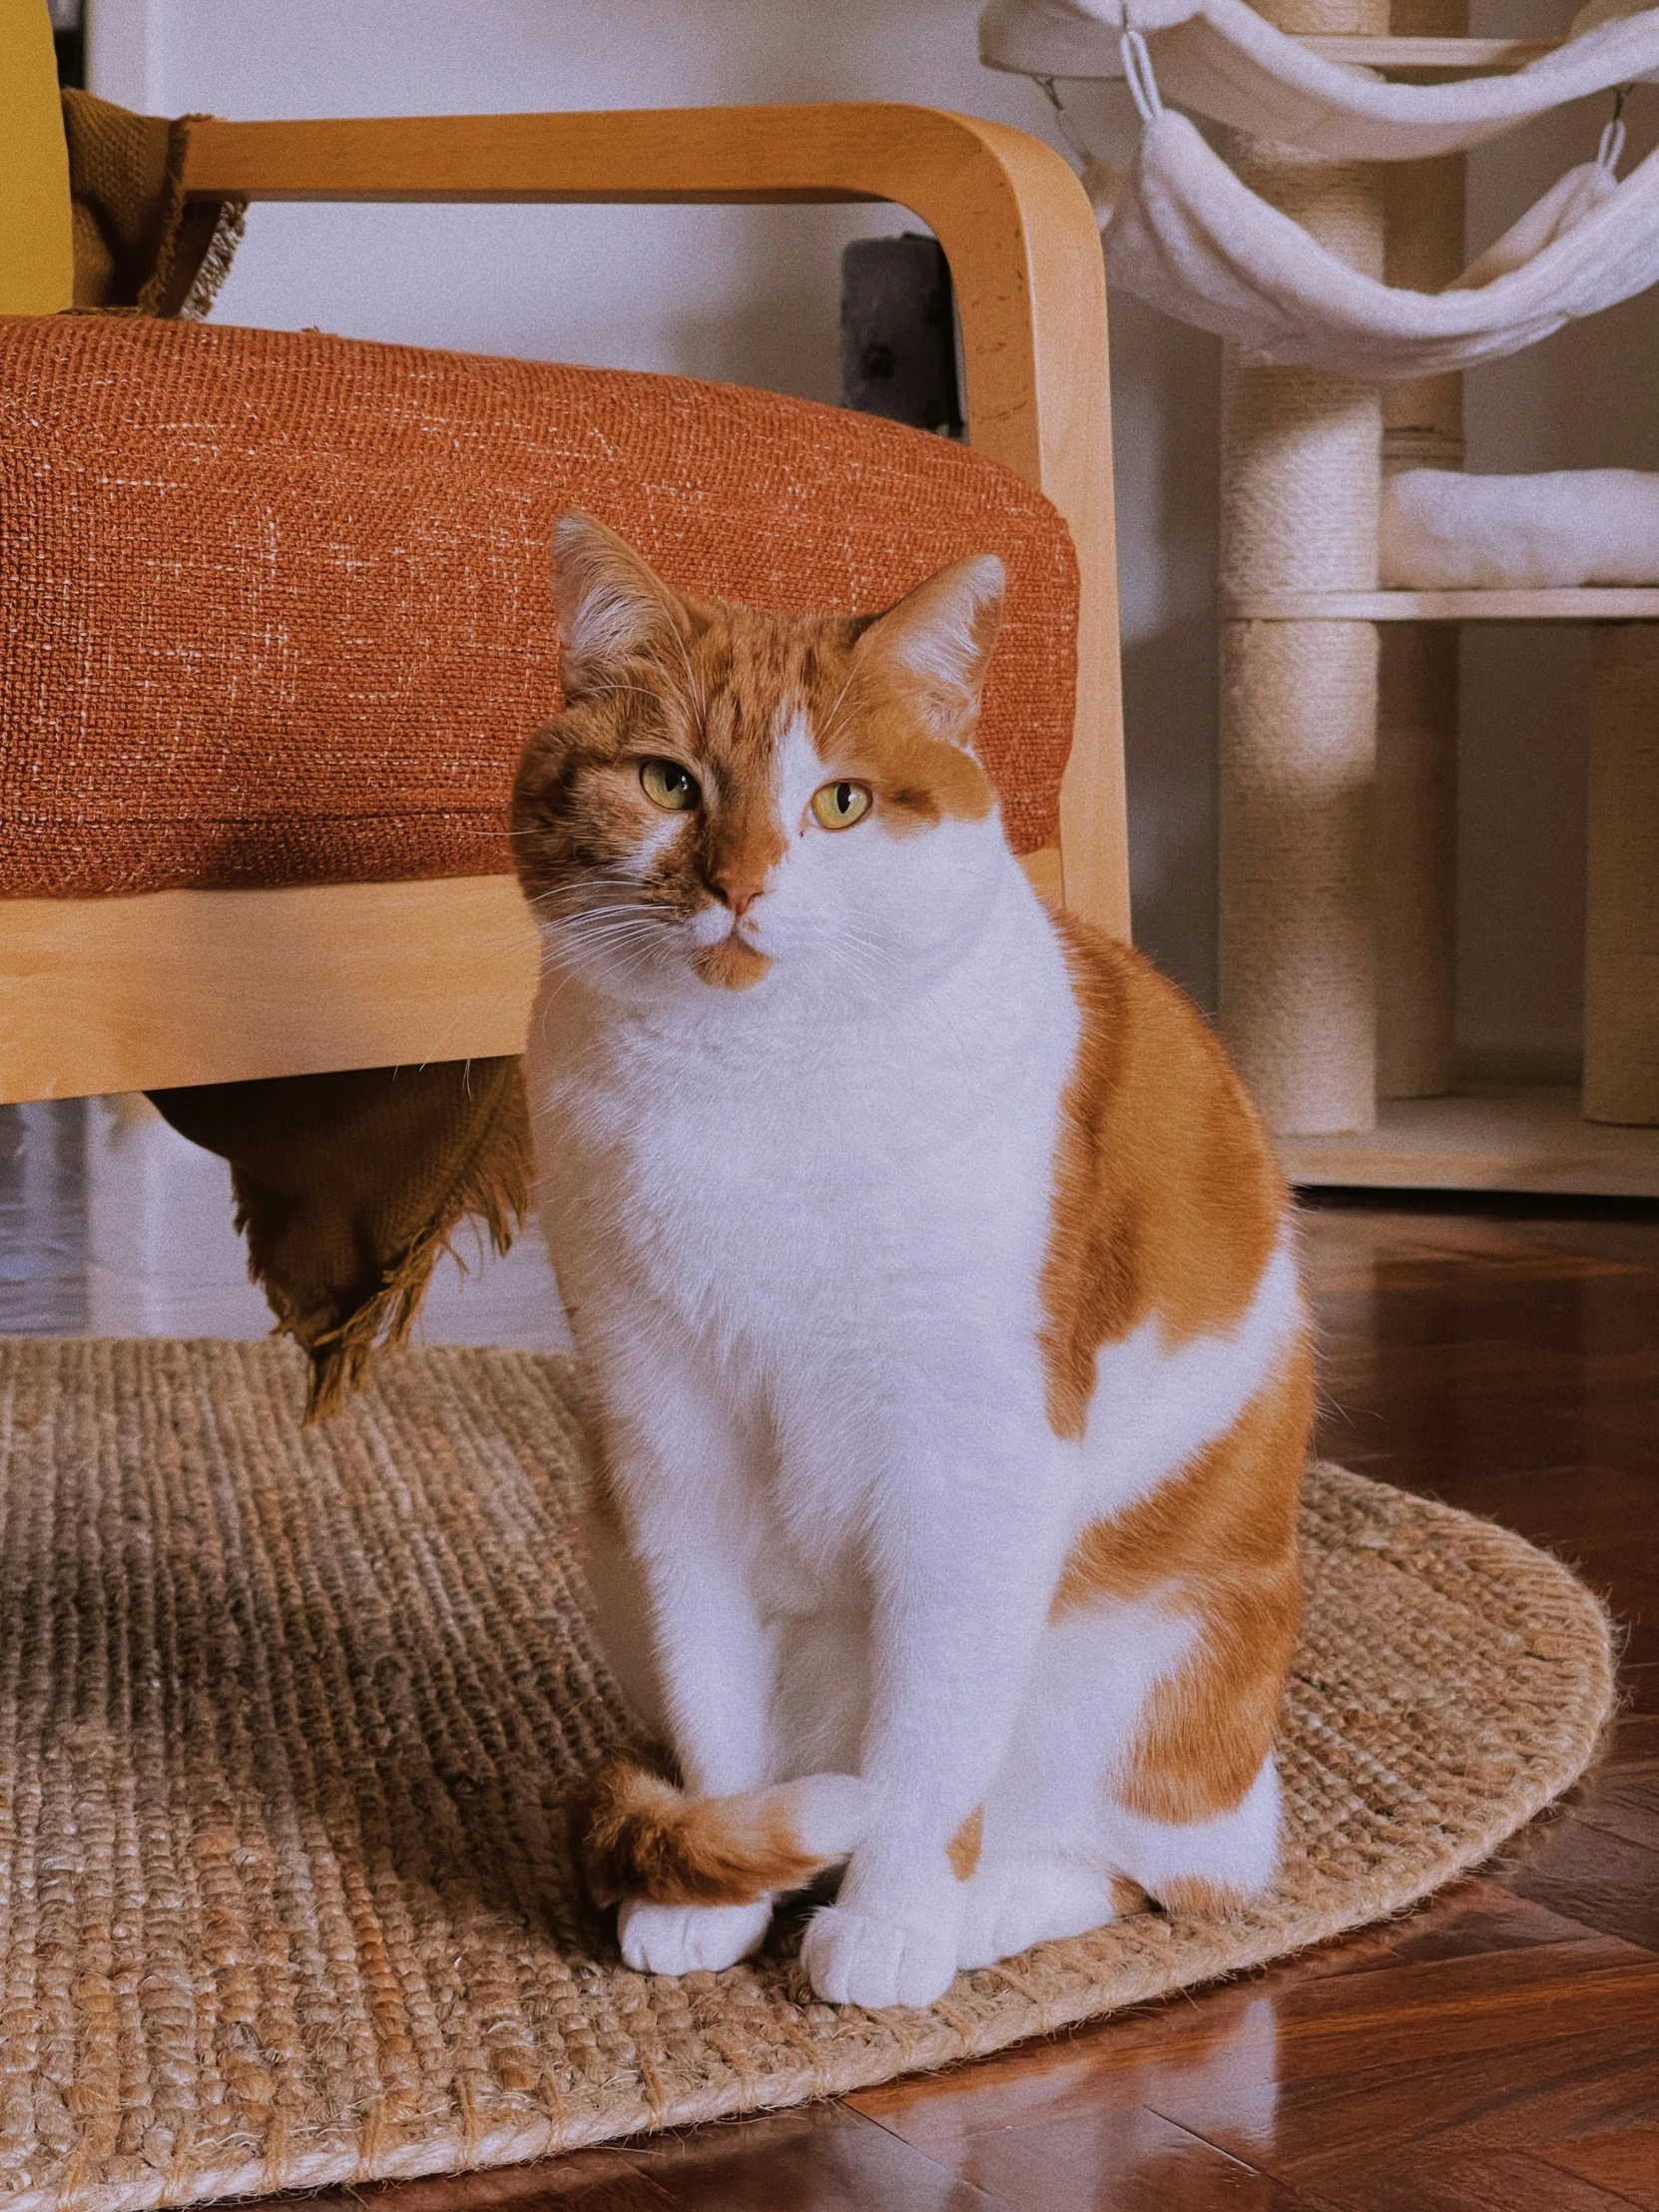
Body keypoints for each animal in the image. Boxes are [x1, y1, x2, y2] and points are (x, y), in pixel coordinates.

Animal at [513, 508, 1318, 2016]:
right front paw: (716, 1888)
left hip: (1131, 1670)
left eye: (839, 802)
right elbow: (716, 1705)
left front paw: (886, 1922)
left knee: (1151, 1869)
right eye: (665, 781)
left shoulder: (969, 1459)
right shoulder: (663, 1438)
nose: (738, 882)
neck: (749, 1093)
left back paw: (973, 1912)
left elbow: (929, 1748)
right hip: (609, 1555)